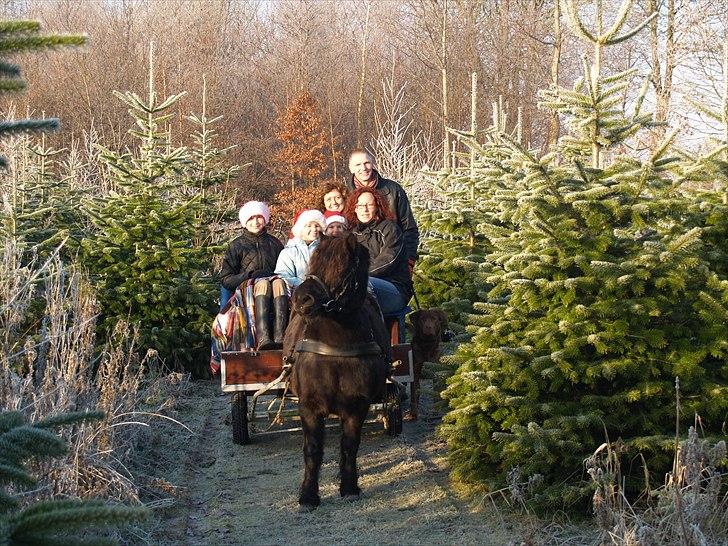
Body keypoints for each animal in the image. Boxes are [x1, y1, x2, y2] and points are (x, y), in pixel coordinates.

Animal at [282, 234, 390, 510]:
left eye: (342, 268)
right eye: (313, 261)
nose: (302, 299)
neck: (335, 347)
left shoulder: (357, 406)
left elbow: (350, 446)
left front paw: (349, 486)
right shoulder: (308, 406)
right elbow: (312, 449)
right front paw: (308, 495)